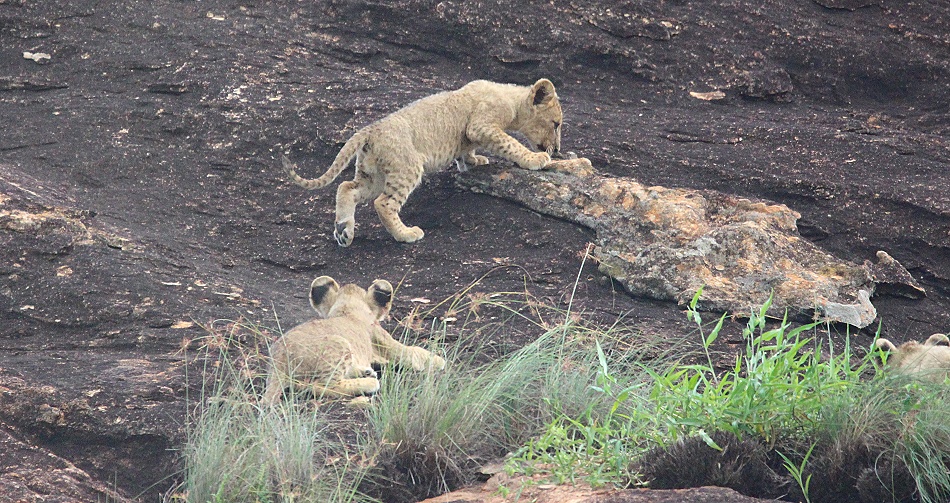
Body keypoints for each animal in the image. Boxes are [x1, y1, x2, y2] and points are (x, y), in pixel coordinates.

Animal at [263, 276, 446, 405]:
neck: (348, 308)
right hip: (340, 344)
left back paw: (365, 373)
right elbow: (415, 353)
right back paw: (369, 382)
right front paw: (440, 360)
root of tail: (278, 359)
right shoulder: (384, 340)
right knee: (319, 385)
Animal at [283, 78, 563, 246]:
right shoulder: (480, 126)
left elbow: (468, 153)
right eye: (556, 124)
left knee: (347, 188)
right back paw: (406, 234)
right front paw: (536, 159)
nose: (558, 150)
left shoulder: (471, 135)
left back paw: (344, 231)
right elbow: (509, 143)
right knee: (383, 203)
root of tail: (371, 129)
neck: (511, 99)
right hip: (406, 166)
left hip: (374, 174)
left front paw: (475, 161)